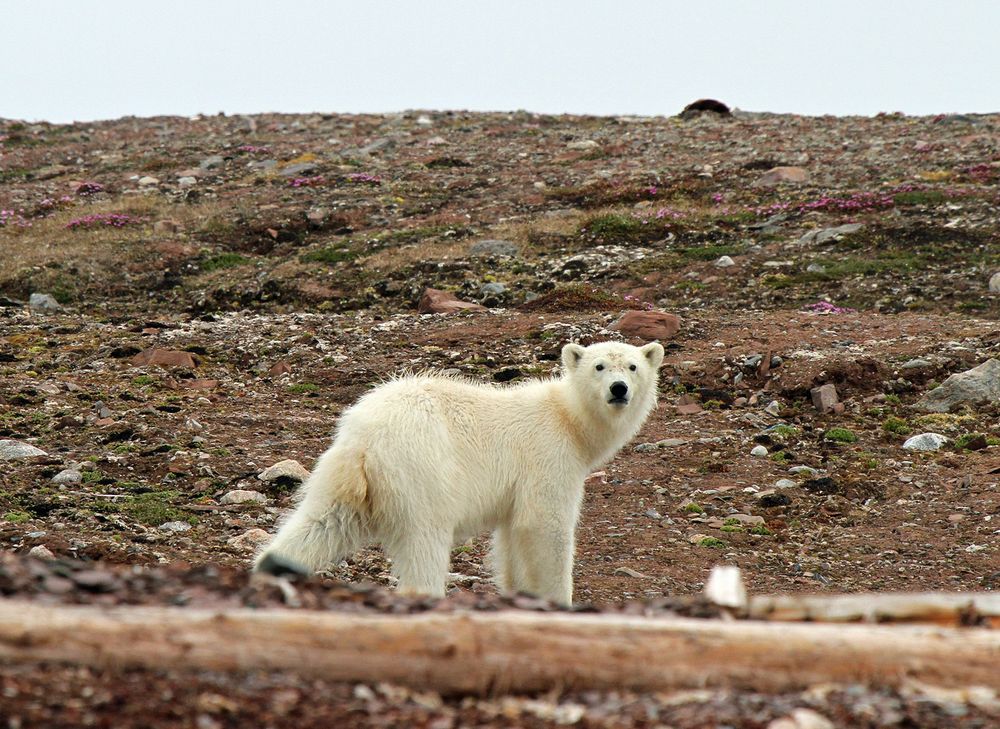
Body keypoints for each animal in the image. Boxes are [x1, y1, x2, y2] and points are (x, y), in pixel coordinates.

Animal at [254, 338, 664, 604]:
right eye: (599, 366)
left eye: (633, 366)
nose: (619, 389)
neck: (569, 419)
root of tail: (366, 439)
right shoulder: (548, 456)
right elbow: (544, 525)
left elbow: (512, 537)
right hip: (423, 473)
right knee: (424, 543)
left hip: (341, 473)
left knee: (321, 524)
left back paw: (270, 566)